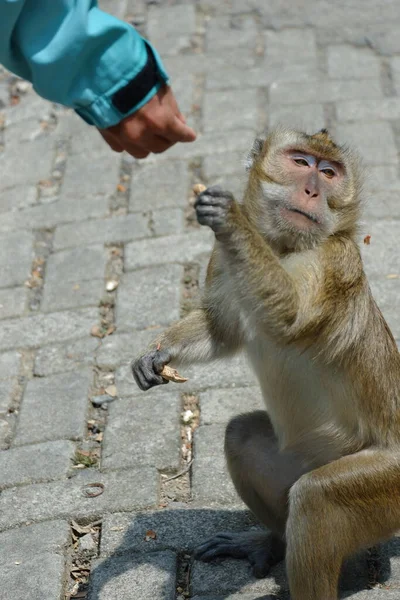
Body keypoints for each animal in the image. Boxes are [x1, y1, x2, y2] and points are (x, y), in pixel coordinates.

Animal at [131, 127, 400, 600]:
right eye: (301, 162)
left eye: (329, 173)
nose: (312, 190)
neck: (280, 247)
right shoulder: (222, 261)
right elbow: (223, 330)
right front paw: (158, 352)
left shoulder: (334, 259)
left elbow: (289, 317)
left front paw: (231, 217)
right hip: (300, 459)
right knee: (241, 437)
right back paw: (272, 541)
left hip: (389, 486)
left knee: (317, 500)